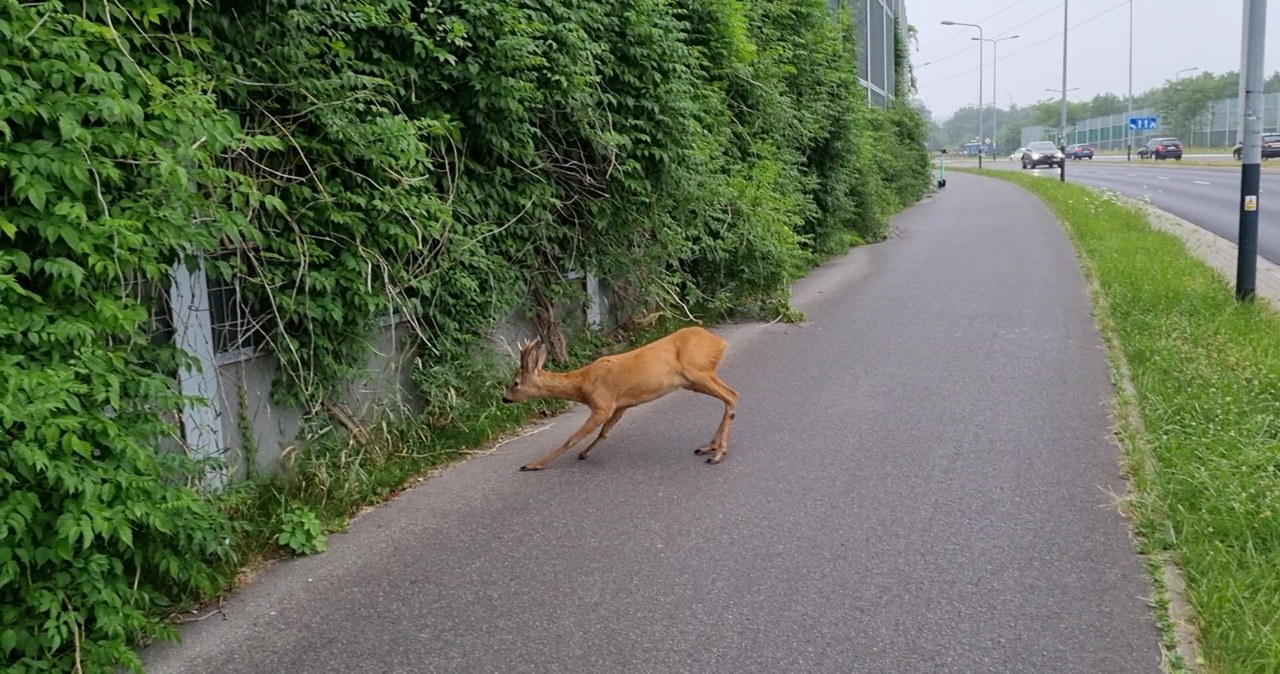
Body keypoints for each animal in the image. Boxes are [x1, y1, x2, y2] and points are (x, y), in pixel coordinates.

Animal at [501, 327, 742, 470]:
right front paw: (585, 453)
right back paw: (710, 447)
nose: (505, 398)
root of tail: (720, 342)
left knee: (731, 396)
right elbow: (605, 432)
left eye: (515, 383)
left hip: (697, 372)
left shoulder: (602, 404)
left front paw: (535, 464)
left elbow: (573, 437)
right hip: (697, 379)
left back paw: (717, 453)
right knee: (732, 395)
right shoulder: (621, 405)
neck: (582, 385)